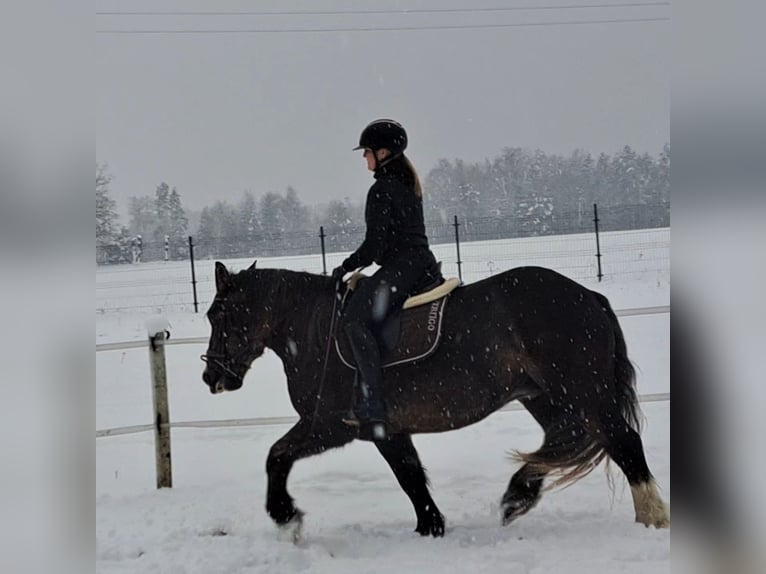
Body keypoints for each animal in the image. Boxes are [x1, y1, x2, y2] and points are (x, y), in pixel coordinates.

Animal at [201, 261, 670, 538]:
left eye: (218, 314)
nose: (211, 376)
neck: (316, 328)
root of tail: (588, 296)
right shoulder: (386, 431)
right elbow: (409, 476)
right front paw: (431, 525)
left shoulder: (330, 425)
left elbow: (276, 455)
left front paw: (286, 516)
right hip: (547, 397)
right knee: (564, 438)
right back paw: (517, 495)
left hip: (583, 393)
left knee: (623, 441)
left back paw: (652, 517)